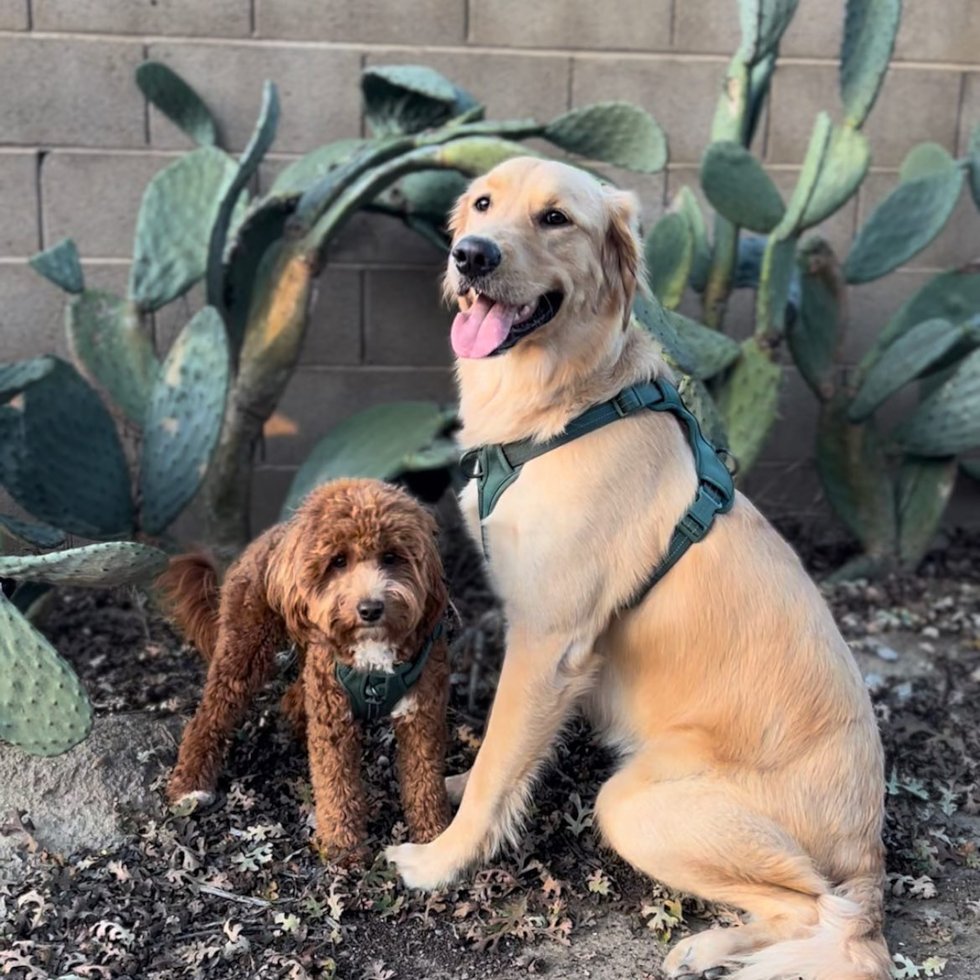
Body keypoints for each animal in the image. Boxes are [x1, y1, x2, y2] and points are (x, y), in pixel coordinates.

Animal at [159, 478, 454, 860]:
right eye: (338, 561)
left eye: (391, 557)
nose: (370, 608)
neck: (373, 650)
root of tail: (274, 534)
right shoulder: (333, 717)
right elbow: (336, 784)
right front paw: (343, 848)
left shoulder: (422, 713)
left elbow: (425, 779)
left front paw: (434, 839)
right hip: (245, 647)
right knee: (210, 714)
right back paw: (190, 783)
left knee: (294, 696)